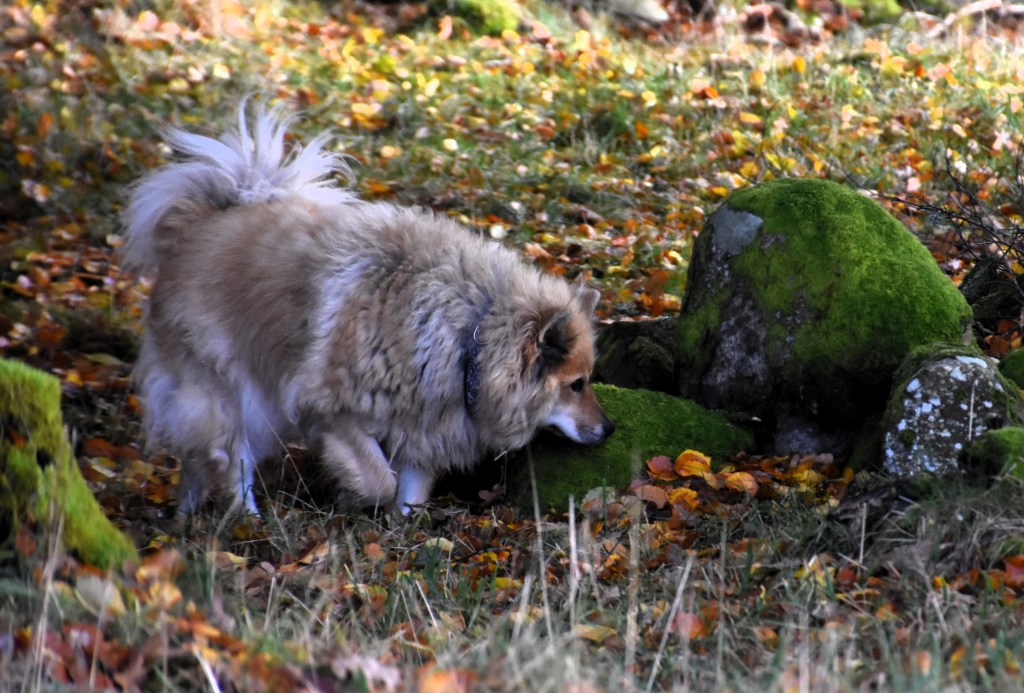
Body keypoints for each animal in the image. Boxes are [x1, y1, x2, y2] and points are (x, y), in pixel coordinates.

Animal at [123, 105, 614, 515]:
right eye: (576, 385)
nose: (609, 429)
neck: (469, 335)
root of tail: (198, 222)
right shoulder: (334, 414)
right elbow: (381, 480)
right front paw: (358, 496)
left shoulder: (425, 429)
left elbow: (411, 496)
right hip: (230, 393)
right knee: (227, 456)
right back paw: (242, 519)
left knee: (198, 459)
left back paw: (188, 518)